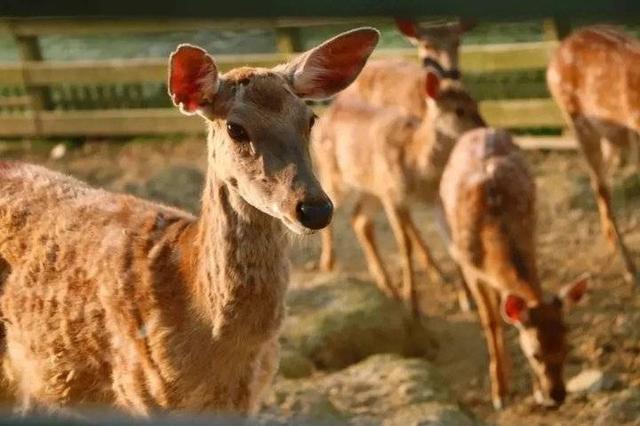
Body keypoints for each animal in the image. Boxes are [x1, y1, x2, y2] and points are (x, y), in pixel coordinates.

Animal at [312, 68, 482, 316]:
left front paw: (467, 299)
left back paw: (388, 287)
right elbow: (404, 245)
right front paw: (412, 302)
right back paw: (328, 264)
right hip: (335, 176)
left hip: (372, 189)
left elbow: (451, 241)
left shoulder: (433, 198)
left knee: (359, 220)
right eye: (459, 110)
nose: (484, 128)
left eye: (476, 103)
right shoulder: (394, 196)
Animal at [440, 127, 592, 410]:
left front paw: (535, 391)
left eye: (567, 346)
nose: (558, 395)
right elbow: (491, 323)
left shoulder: (529, 240)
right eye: (535, 354)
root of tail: (481, 129)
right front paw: (499, 393)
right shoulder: (471, 269)